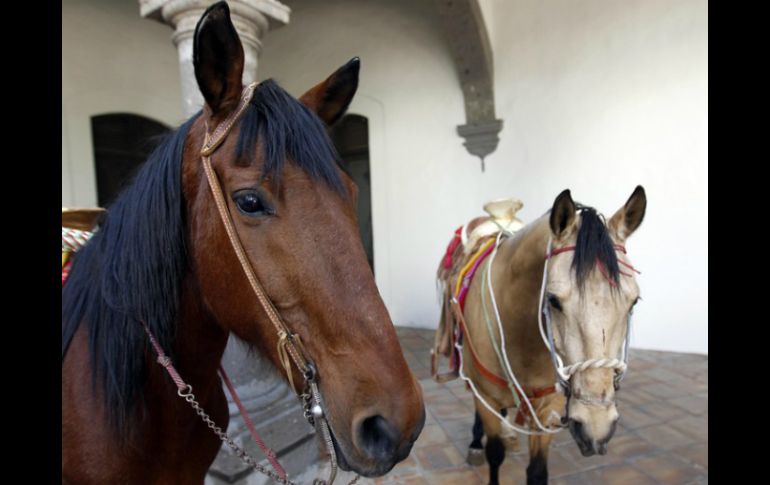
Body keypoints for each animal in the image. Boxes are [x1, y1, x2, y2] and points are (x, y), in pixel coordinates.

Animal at [438, 187, 640, 482]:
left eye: (634, 301)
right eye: (553, 300)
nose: (596, 426)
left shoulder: (547, 411)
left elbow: (537, 471)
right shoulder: (486, 397)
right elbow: (494, 454)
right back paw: (476, 443)